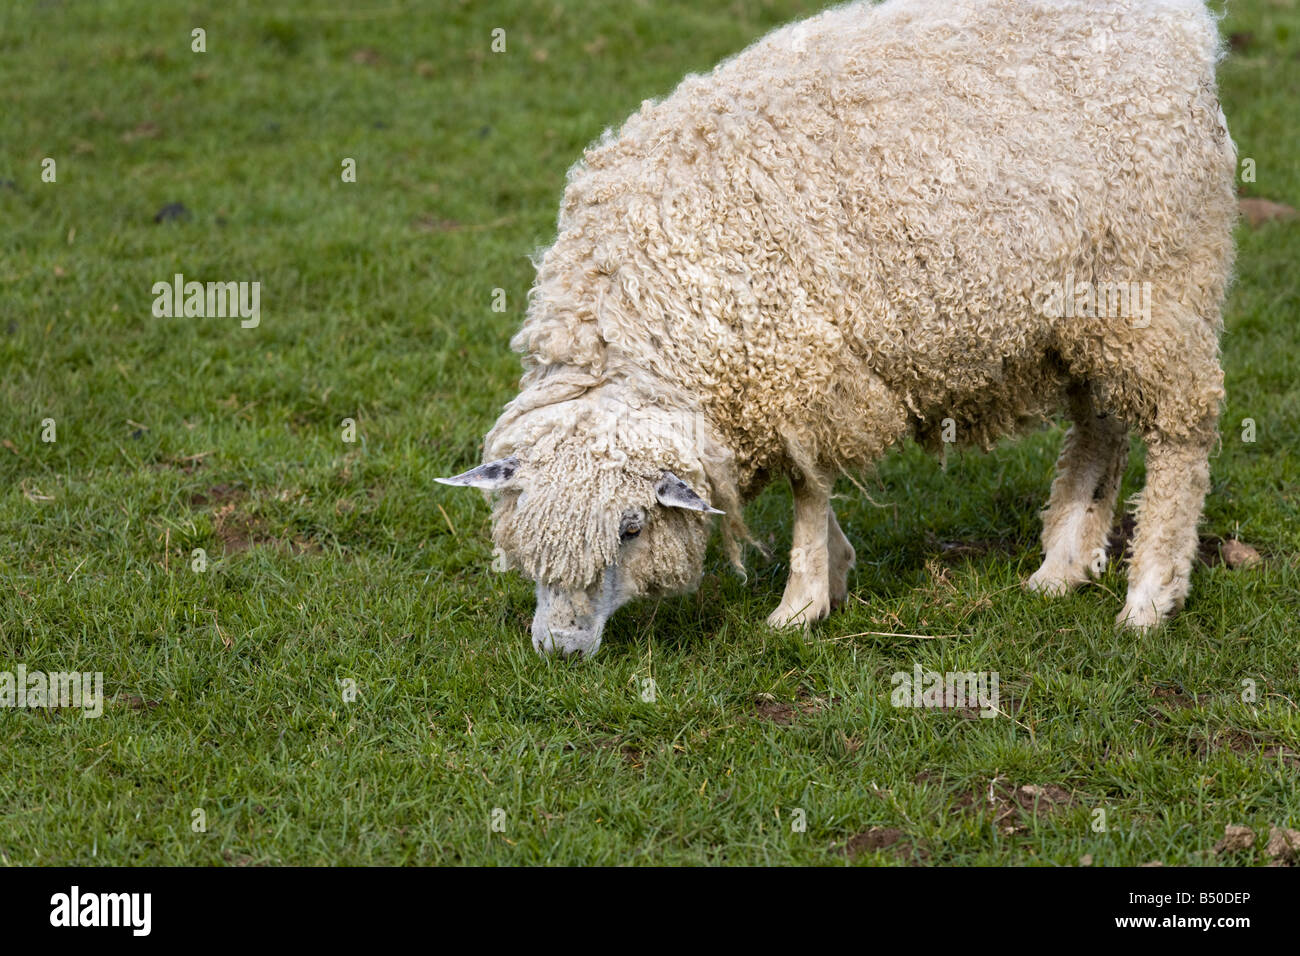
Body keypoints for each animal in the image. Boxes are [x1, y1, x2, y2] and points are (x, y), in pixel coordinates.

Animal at [439, 0, 1237, 658]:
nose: (561, 648)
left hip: (1162, 286)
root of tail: (1183, 25)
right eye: (518, 528)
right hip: (1088, 317)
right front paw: (835, 572)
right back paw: (1064, 565)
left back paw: (1150, 595)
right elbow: (814, 485)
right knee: (1101, 424)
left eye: (632, 528)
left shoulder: (801, 369)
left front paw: (802, 602)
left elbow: (808, 486)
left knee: (1181, 431)